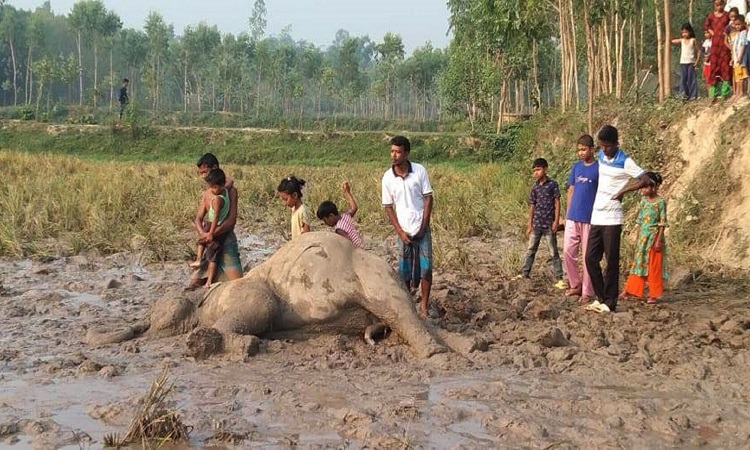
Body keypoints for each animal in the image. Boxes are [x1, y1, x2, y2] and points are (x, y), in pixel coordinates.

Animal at [85, 234, 456, 360]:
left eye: (162, 308)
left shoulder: (243, 291)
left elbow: (259, 307)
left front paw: (229, 344)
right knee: (403, 313)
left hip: (371, 277)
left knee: (399, 311)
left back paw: (436, 354)